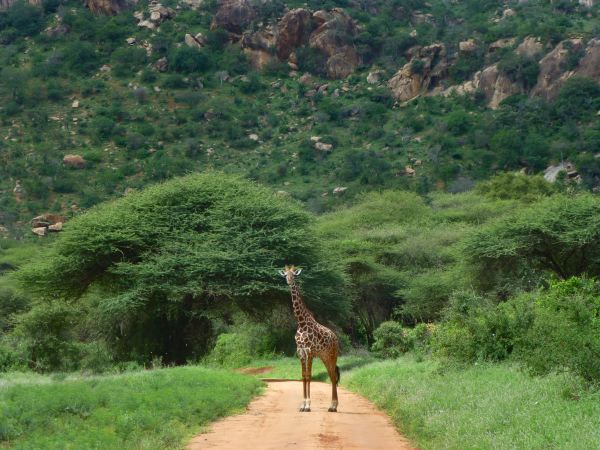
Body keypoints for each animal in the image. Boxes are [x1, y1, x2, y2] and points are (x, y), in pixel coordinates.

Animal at [278, 266, 340, 414]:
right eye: (285, 275)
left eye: (294, 275)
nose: (289, 281)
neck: (301, 323)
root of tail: (335, 338)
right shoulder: (300, 352)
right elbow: (303, 376)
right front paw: (303, 405)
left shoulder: (309, 351)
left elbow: (309, 376)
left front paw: (308, 405)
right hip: (324, 357)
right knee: (332, 376)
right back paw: (332, 406)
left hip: (333, 355)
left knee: (333, 377)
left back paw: (333, 406)